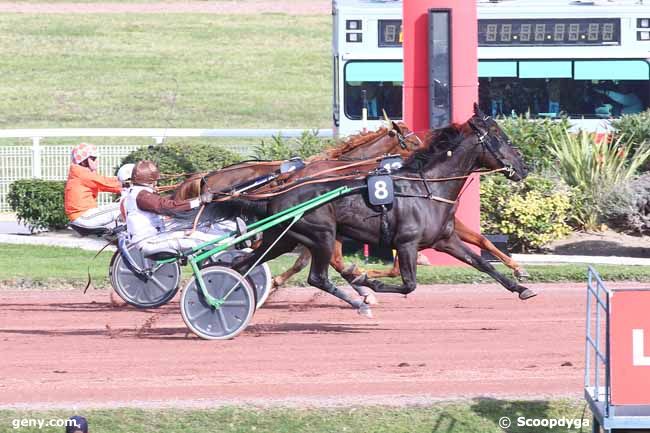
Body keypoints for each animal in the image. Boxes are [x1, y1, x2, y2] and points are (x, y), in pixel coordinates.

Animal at [230, 104, 536, 314]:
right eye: (499, 137)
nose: (523, 167)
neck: (427, 188)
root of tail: (279, 192)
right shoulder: (407, 243)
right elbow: (408, 283)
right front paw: (369, 281)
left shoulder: (445, 239)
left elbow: (482, 262)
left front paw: (521, 287)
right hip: (322, 235)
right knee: (317, 275)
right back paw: (360, 298)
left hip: (284, 238)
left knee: (243, 265)